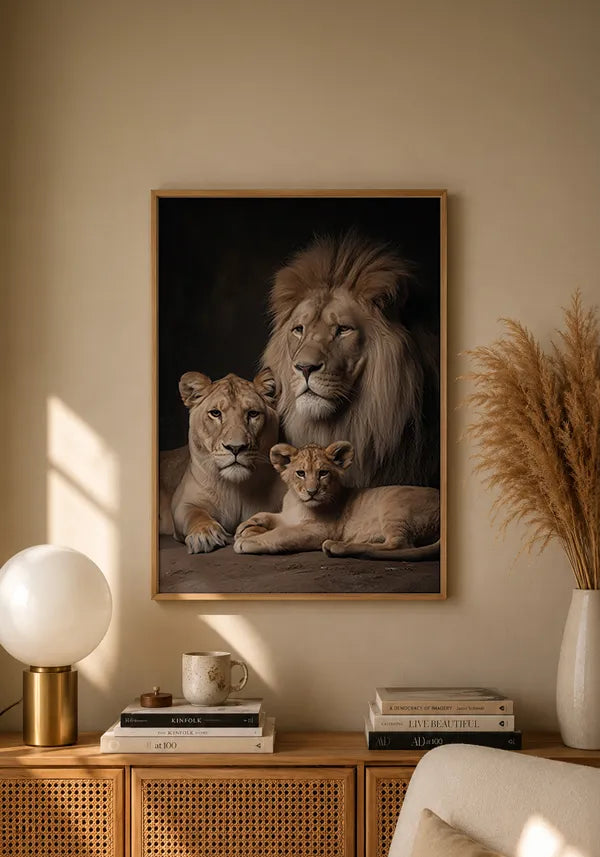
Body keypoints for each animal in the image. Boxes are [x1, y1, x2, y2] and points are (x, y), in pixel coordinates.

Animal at [162, 369, 284, 554]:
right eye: (215, 413)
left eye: (253, 413)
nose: (235, 447)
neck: (236, 489)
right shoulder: (182, 503)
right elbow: (195, 514)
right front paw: (204, 535)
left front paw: (254, 531)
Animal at [234, 441, 440, 560]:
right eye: (300, 473)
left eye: (323, 473)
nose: (312, 492)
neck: (298, 504)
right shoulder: (288, 516)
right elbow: (267, 514)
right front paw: (247, 528)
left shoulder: (319, 530)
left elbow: (281, 533)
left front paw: (248, 540)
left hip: (394, 505)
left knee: (399, 545)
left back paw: (337, 546)